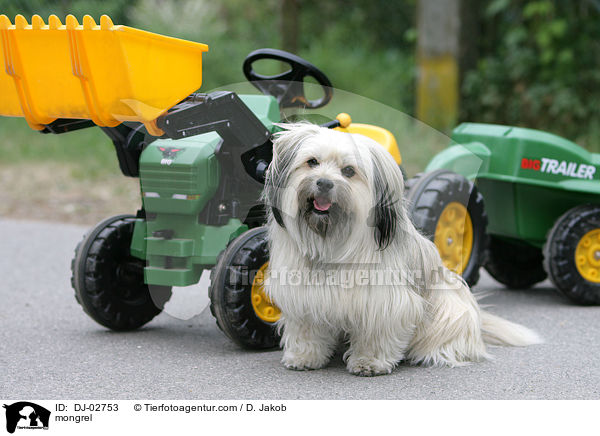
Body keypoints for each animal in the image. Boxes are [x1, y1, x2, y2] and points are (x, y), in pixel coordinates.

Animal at [262, 122, 540, 374]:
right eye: (312, 162)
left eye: (349, 171)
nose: (324, 183)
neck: (332, 240)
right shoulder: (302, 295)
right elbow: (307, 329)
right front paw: (304, 357)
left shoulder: (382, 300)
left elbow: (376, 330)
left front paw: (369, 362)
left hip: (450, 310)